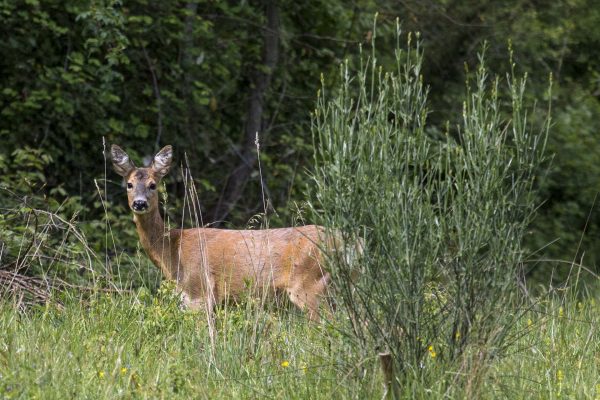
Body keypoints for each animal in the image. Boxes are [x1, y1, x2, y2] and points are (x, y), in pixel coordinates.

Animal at [110, 144, 336, 322]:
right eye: (129, 184)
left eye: (153, 185)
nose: (140, 203)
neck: (172, 250)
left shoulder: (199, 291)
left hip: (310, 285)